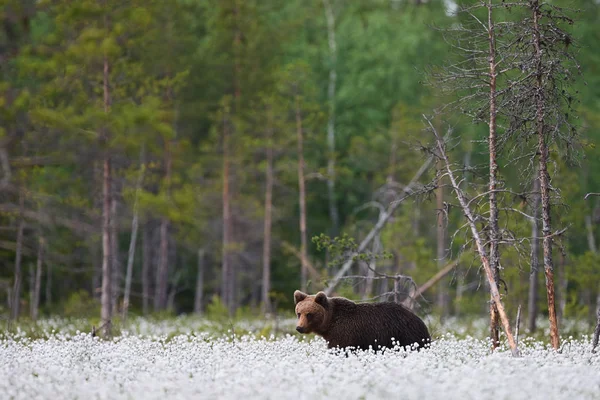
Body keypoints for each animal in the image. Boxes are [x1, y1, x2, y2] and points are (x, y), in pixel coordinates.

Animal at [292, 290, 428, 350]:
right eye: (299, 313)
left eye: (309, 314)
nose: (299, 327)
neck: (329, 324)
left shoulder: (344, 333)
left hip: (406, 336)